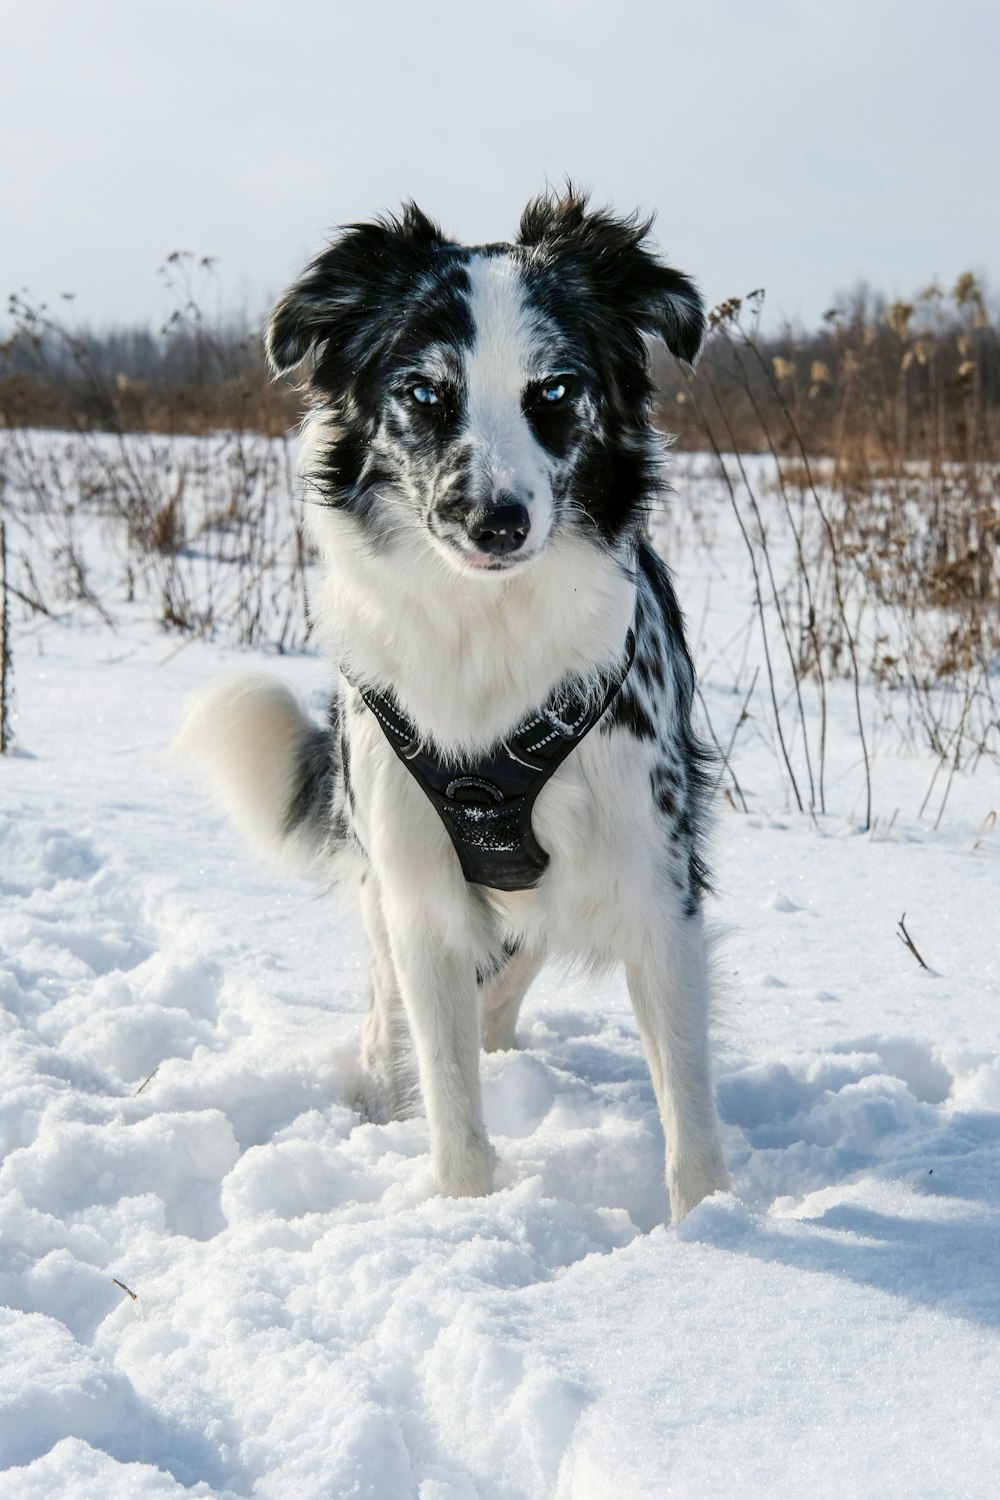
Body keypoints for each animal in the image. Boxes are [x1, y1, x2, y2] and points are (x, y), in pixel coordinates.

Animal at [177, 190, 728, 1218]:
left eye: (555, 390)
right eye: (426, 394)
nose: (495, 522)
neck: (488, 632)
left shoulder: (655, 879)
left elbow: (687, 1105)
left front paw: (712, 1229)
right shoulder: (417, 888)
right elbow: (447, 1084)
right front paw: (465, 1215)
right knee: (398, 1004)